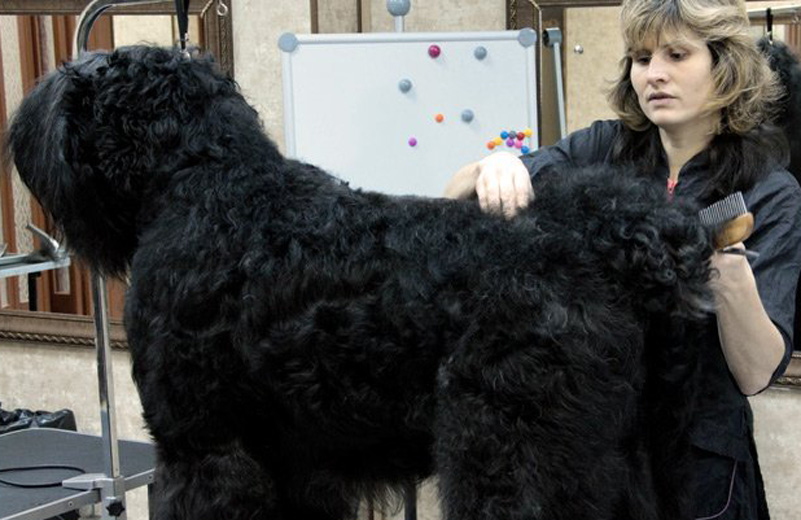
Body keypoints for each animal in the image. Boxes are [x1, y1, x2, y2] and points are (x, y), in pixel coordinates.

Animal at [5, 46, 713, 520]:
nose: (22, 126)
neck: (206, 179)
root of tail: (603, 242)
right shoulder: (296, 459)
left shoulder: (201, 447)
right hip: (615, 464)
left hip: (509, 454)